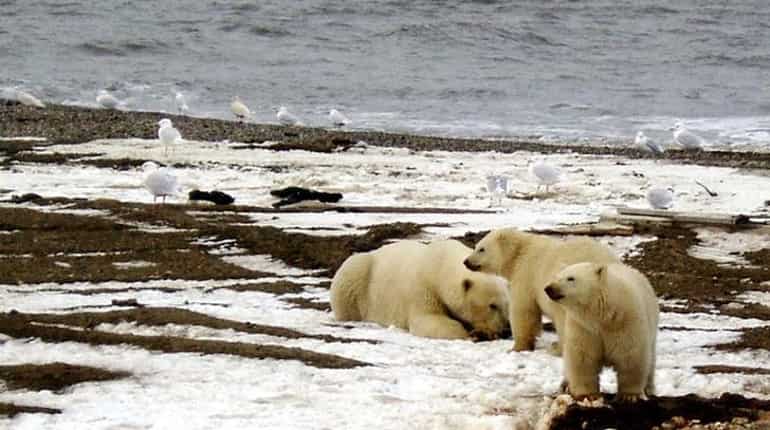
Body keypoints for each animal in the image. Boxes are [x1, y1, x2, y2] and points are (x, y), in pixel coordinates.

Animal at [330, 239, 510, 340]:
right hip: (359, 275)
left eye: (507, 305)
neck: (440, 264)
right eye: (492, 305)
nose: (506, 330)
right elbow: (429, 320)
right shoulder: (424, 289)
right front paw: (473, 334)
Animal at [463, 228, 620, 352]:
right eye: (476, 246)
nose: (466, 261)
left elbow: (524, 310)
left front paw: (517, 347)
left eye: (481, 249)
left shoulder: (526, 275)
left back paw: (558, 347)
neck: (519, 253)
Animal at [544, 262, 659, 402]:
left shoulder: (626, 322)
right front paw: (588, 395)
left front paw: (629, 395)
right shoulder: (584, 328)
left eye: (570, 278)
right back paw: (565, 385)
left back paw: (649, 389)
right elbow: (583, 358)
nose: (548, 288)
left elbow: (630, 356)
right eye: (557, 276)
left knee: (651, 361)